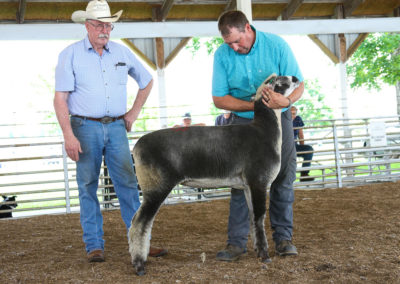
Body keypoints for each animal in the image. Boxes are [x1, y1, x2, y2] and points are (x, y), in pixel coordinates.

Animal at [128, 74, 300, 276]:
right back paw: (139, 265)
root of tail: (137, 147)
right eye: (281, 82)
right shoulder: (259, 181)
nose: (296, 77)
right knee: (139, 224)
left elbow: (252, 218)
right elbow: (259, 218)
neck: (264, 131)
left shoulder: (248, 186)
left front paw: (258, 251)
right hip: (156, 187)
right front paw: (265, 256)